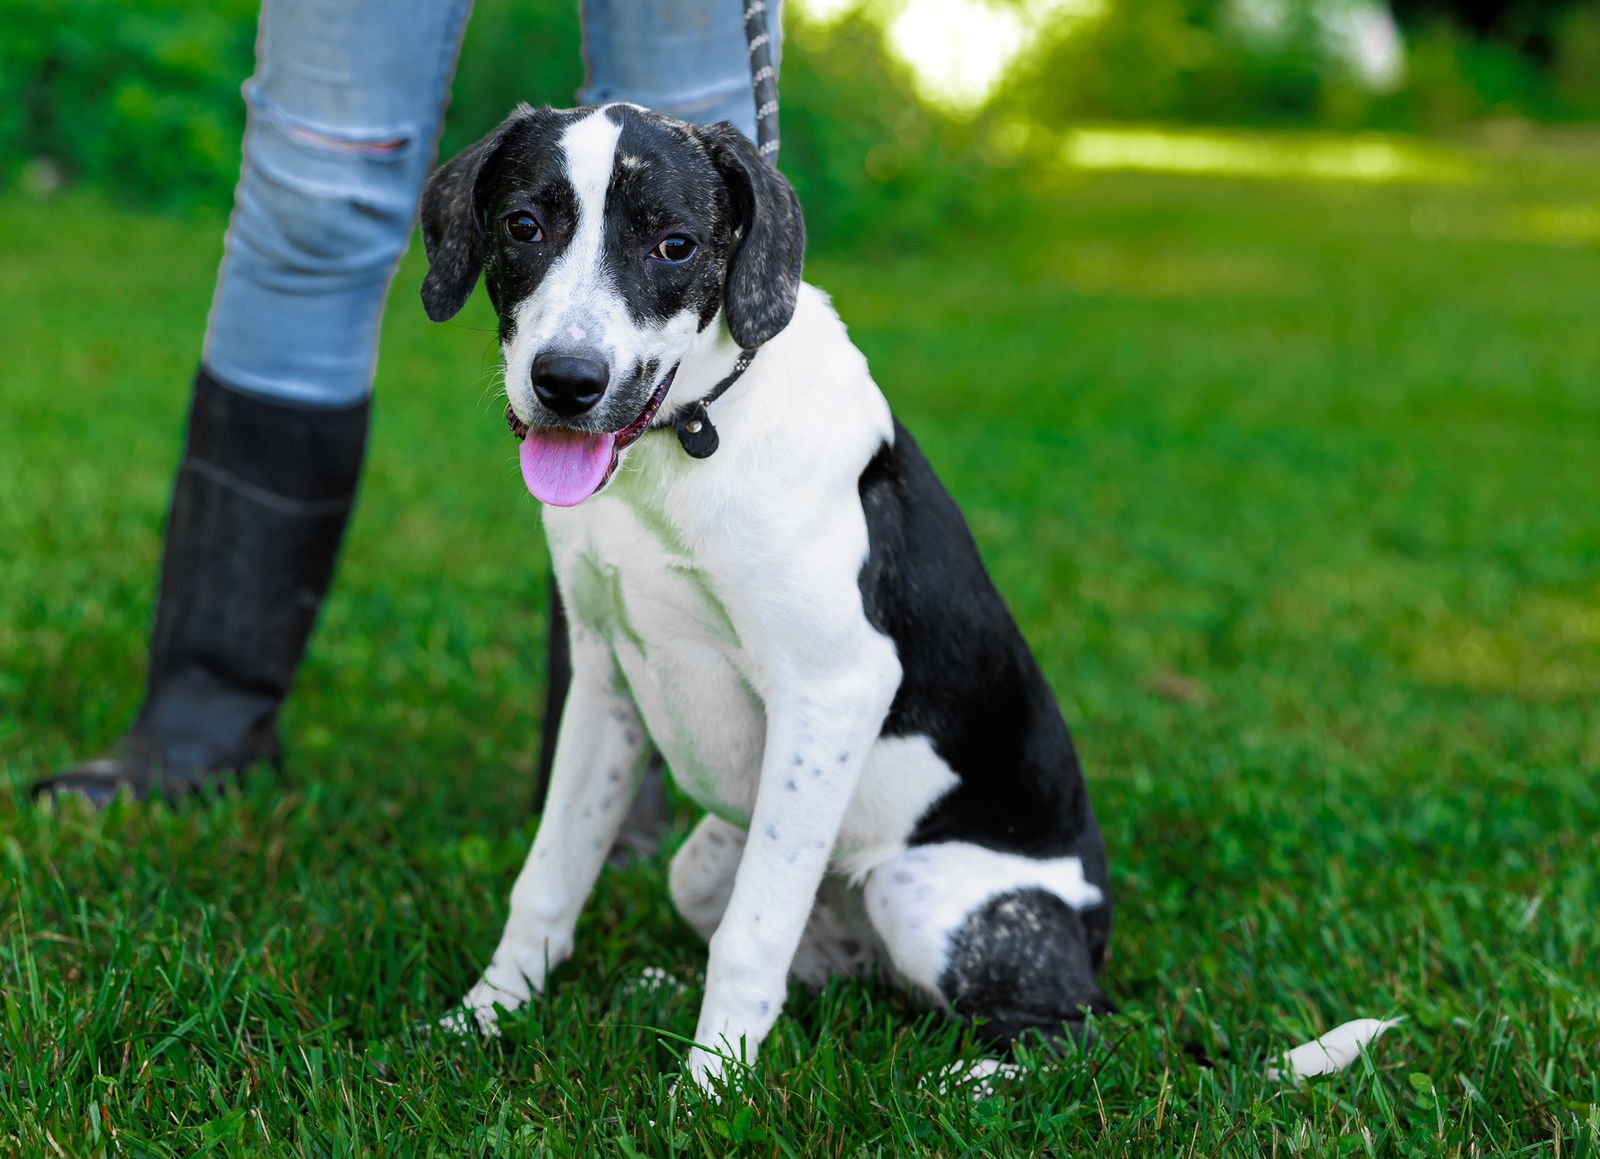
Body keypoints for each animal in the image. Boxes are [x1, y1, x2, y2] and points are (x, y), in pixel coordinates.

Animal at [419, 104, 1113, 1088]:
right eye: (522, 225)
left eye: (675, 244)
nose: (567, 383)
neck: (689, 441)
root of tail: (1094, 929)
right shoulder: (602, 679)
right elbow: (550, 875)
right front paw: (484, 1017)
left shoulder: (833, 690)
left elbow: (751, 939)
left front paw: (712, 1089)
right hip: (710, 861)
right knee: (829, 973)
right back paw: (663, 988)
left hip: (923, 892)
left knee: (1074, 1030)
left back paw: (958, 1083)